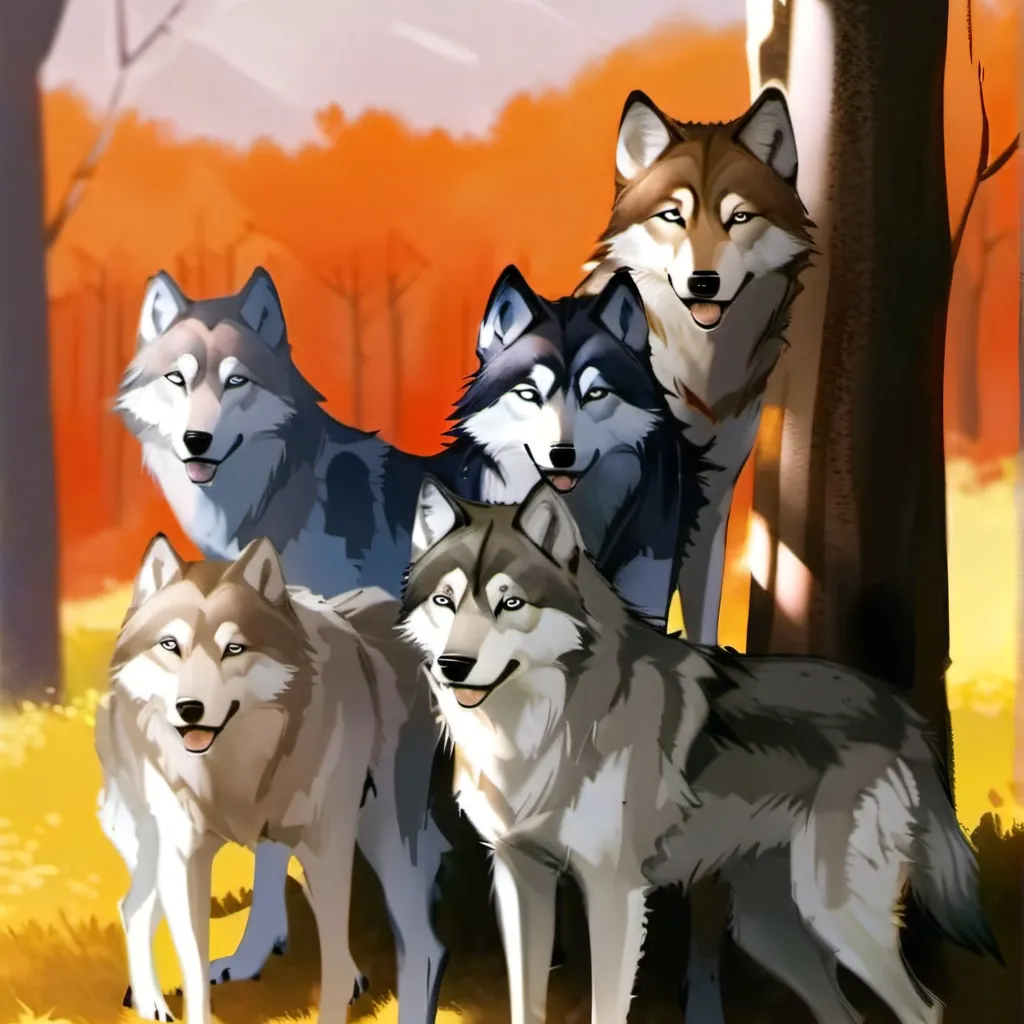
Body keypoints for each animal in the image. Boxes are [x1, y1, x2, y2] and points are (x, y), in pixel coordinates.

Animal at [95, 535, 435, 1024]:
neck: (233, 771)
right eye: (170, 645)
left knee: (418, 943)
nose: (190, 709)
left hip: (381, 835)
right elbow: (194, 971)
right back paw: (153, 1003)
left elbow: (332, 959)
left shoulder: (326, 847)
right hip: (156, 847)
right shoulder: (185, 858)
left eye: (234, 649)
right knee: (133, 908)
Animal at [399, 477, 1001, 1024]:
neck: (535, 732)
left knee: (926, 1008)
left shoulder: (614, 891)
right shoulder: (519, 875)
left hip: (836, 916)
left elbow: (606, 1007)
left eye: (511, 603)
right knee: (846, 1015)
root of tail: (901, 711)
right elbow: (527, 1003)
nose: (454, 666)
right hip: (769, 932)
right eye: (445, 601)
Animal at [576, 85, 815, 646]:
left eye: (739, 217)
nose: (703, 282)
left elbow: (702, 609)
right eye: (673, 216)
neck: (698, 375)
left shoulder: (712, 495)